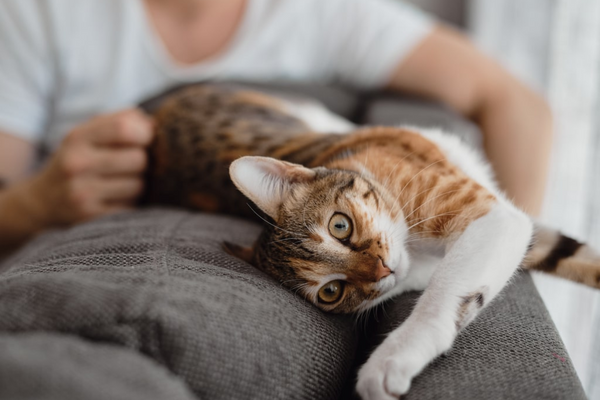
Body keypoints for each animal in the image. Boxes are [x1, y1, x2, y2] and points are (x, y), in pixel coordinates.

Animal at [145, 84, 600, 400]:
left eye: (339, 226)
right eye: (331, 291)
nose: (382, 270)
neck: (416, 252)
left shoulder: (491, 216)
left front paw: (393, 356)